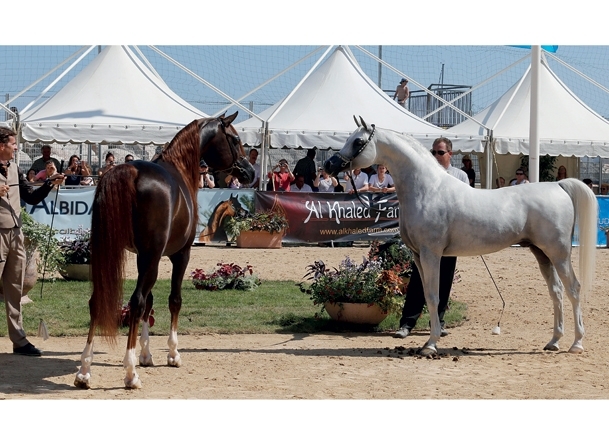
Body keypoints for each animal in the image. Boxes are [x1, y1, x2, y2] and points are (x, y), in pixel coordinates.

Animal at [74, 112, 255, 389]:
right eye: (235, 139)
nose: (250, 172)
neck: (178, 168)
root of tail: (129, 171)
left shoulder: (145, 257)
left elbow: (150, 304)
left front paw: (146, 354)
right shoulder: (179, 255)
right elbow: (173, 300)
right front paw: (172, 354)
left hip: (109, 254)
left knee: (98, 302)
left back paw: (84, 371)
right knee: (135, 302)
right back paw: (130, 374)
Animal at [324, 116, 597, 356]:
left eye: (358, 142)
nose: (329, 165)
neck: (427, 189)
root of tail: (558, 186)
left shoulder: (431, 254)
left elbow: (434, 297)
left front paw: (430, 345)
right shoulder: (418, 256)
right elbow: (426, 296)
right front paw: (429, 340)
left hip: (558, 253)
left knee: (573, 289)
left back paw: (577, 344)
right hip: (541, 253)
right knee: (556, 292)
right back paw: (554, 342)